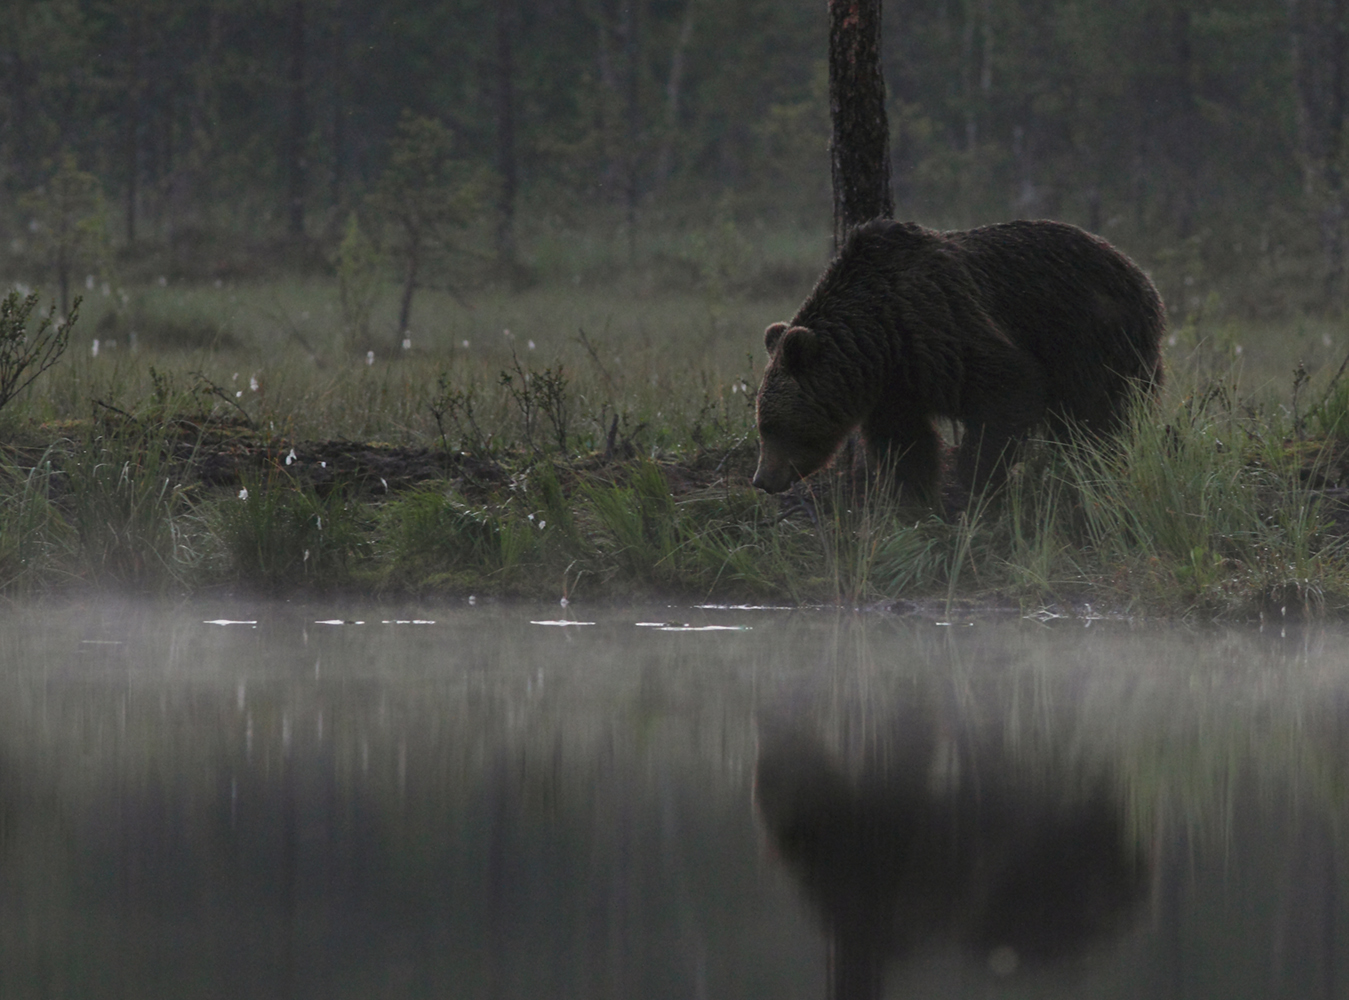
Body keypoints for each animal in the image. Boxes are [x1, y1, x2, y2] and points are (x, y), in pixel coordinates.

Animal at [755, 215, 1165, 499]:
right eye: (761, 423)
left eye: (772, 425)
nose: (762, 479)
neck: (881, 338)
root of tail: (1144, 278)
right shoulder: (897, 384)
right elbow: (905, 443)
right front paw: (916, 499)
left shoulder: (942, 329)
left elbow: (1008, 390)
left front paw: (975, 483)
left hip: (1094, 338)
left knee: (1099, 416)